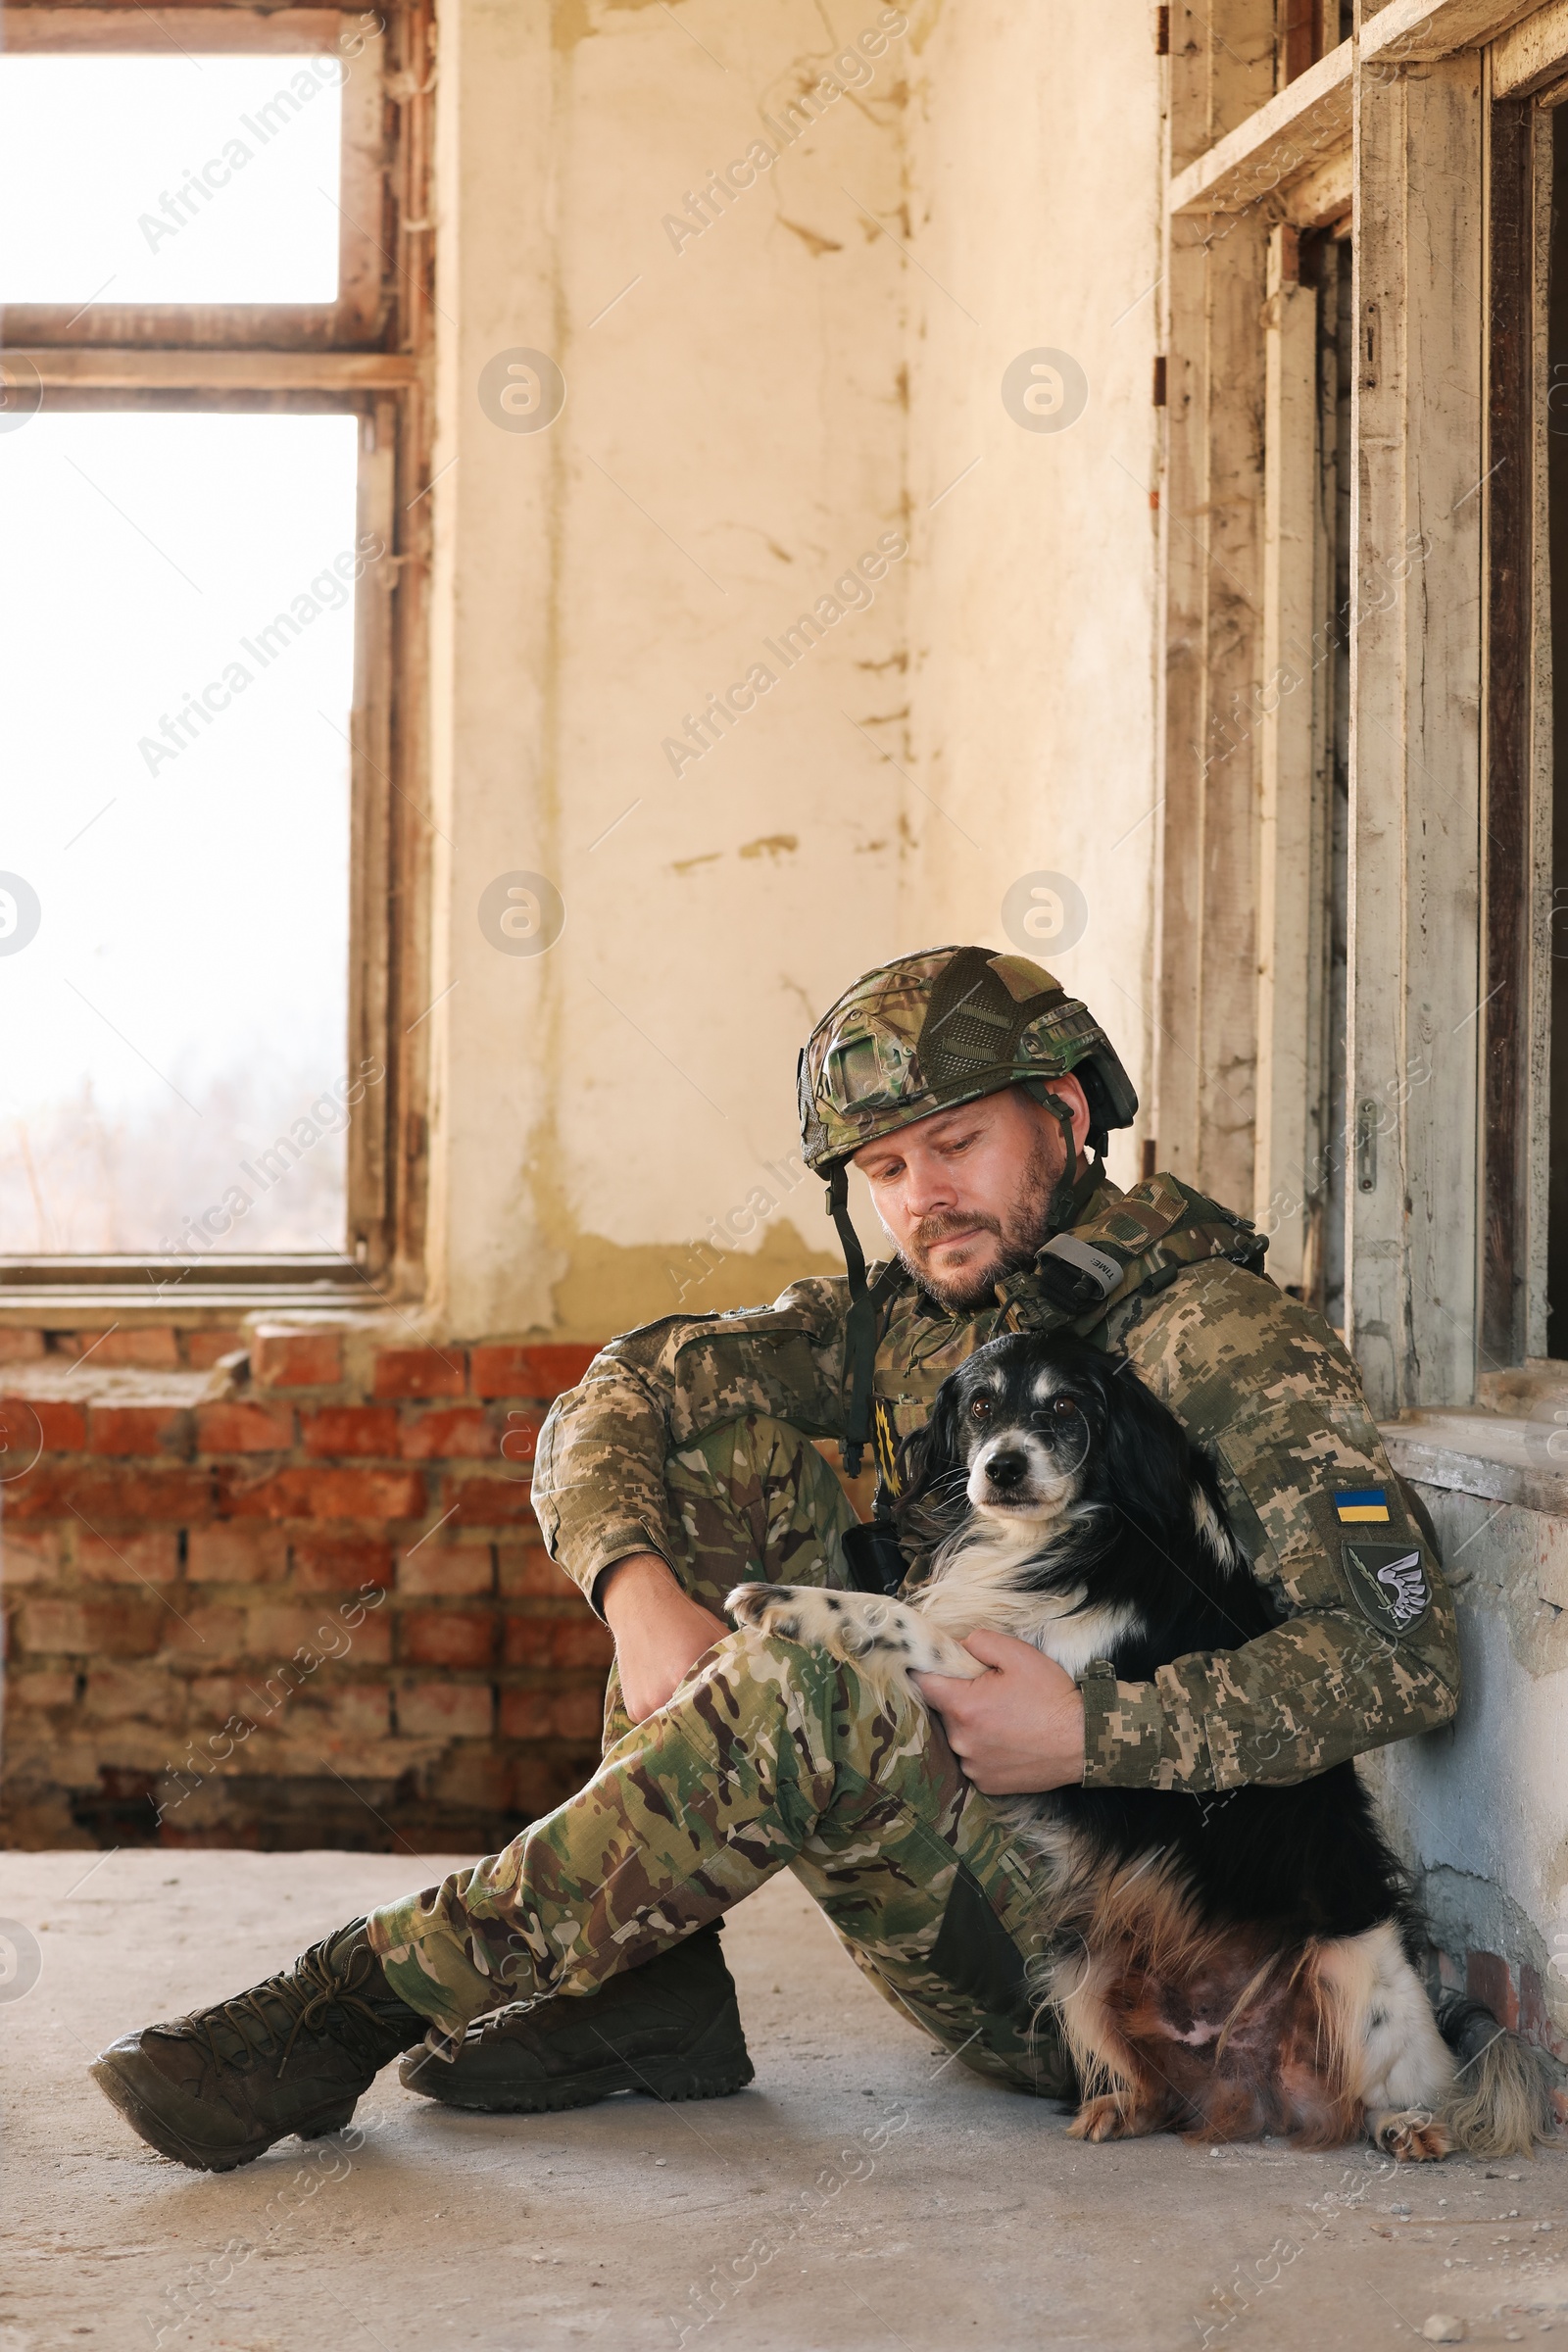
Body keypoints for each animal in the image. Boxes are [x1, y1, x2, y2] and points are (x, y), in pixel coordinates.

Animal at [733, 1336, 1542, 2154]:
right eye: (981, 1406)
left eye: (1065, 1407)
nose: (1003, 1467)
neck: (1073, 1536)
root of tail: (1256, 2089)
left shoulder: (1020, 1693)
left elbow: (901, 1619)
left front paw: (789, 1603)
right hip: (1076, 1964)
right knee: (1168, 2091)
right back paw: (1123, 2106)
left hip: (1357, 1970)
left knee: (1387, 2091)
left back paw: (1409, 2125)